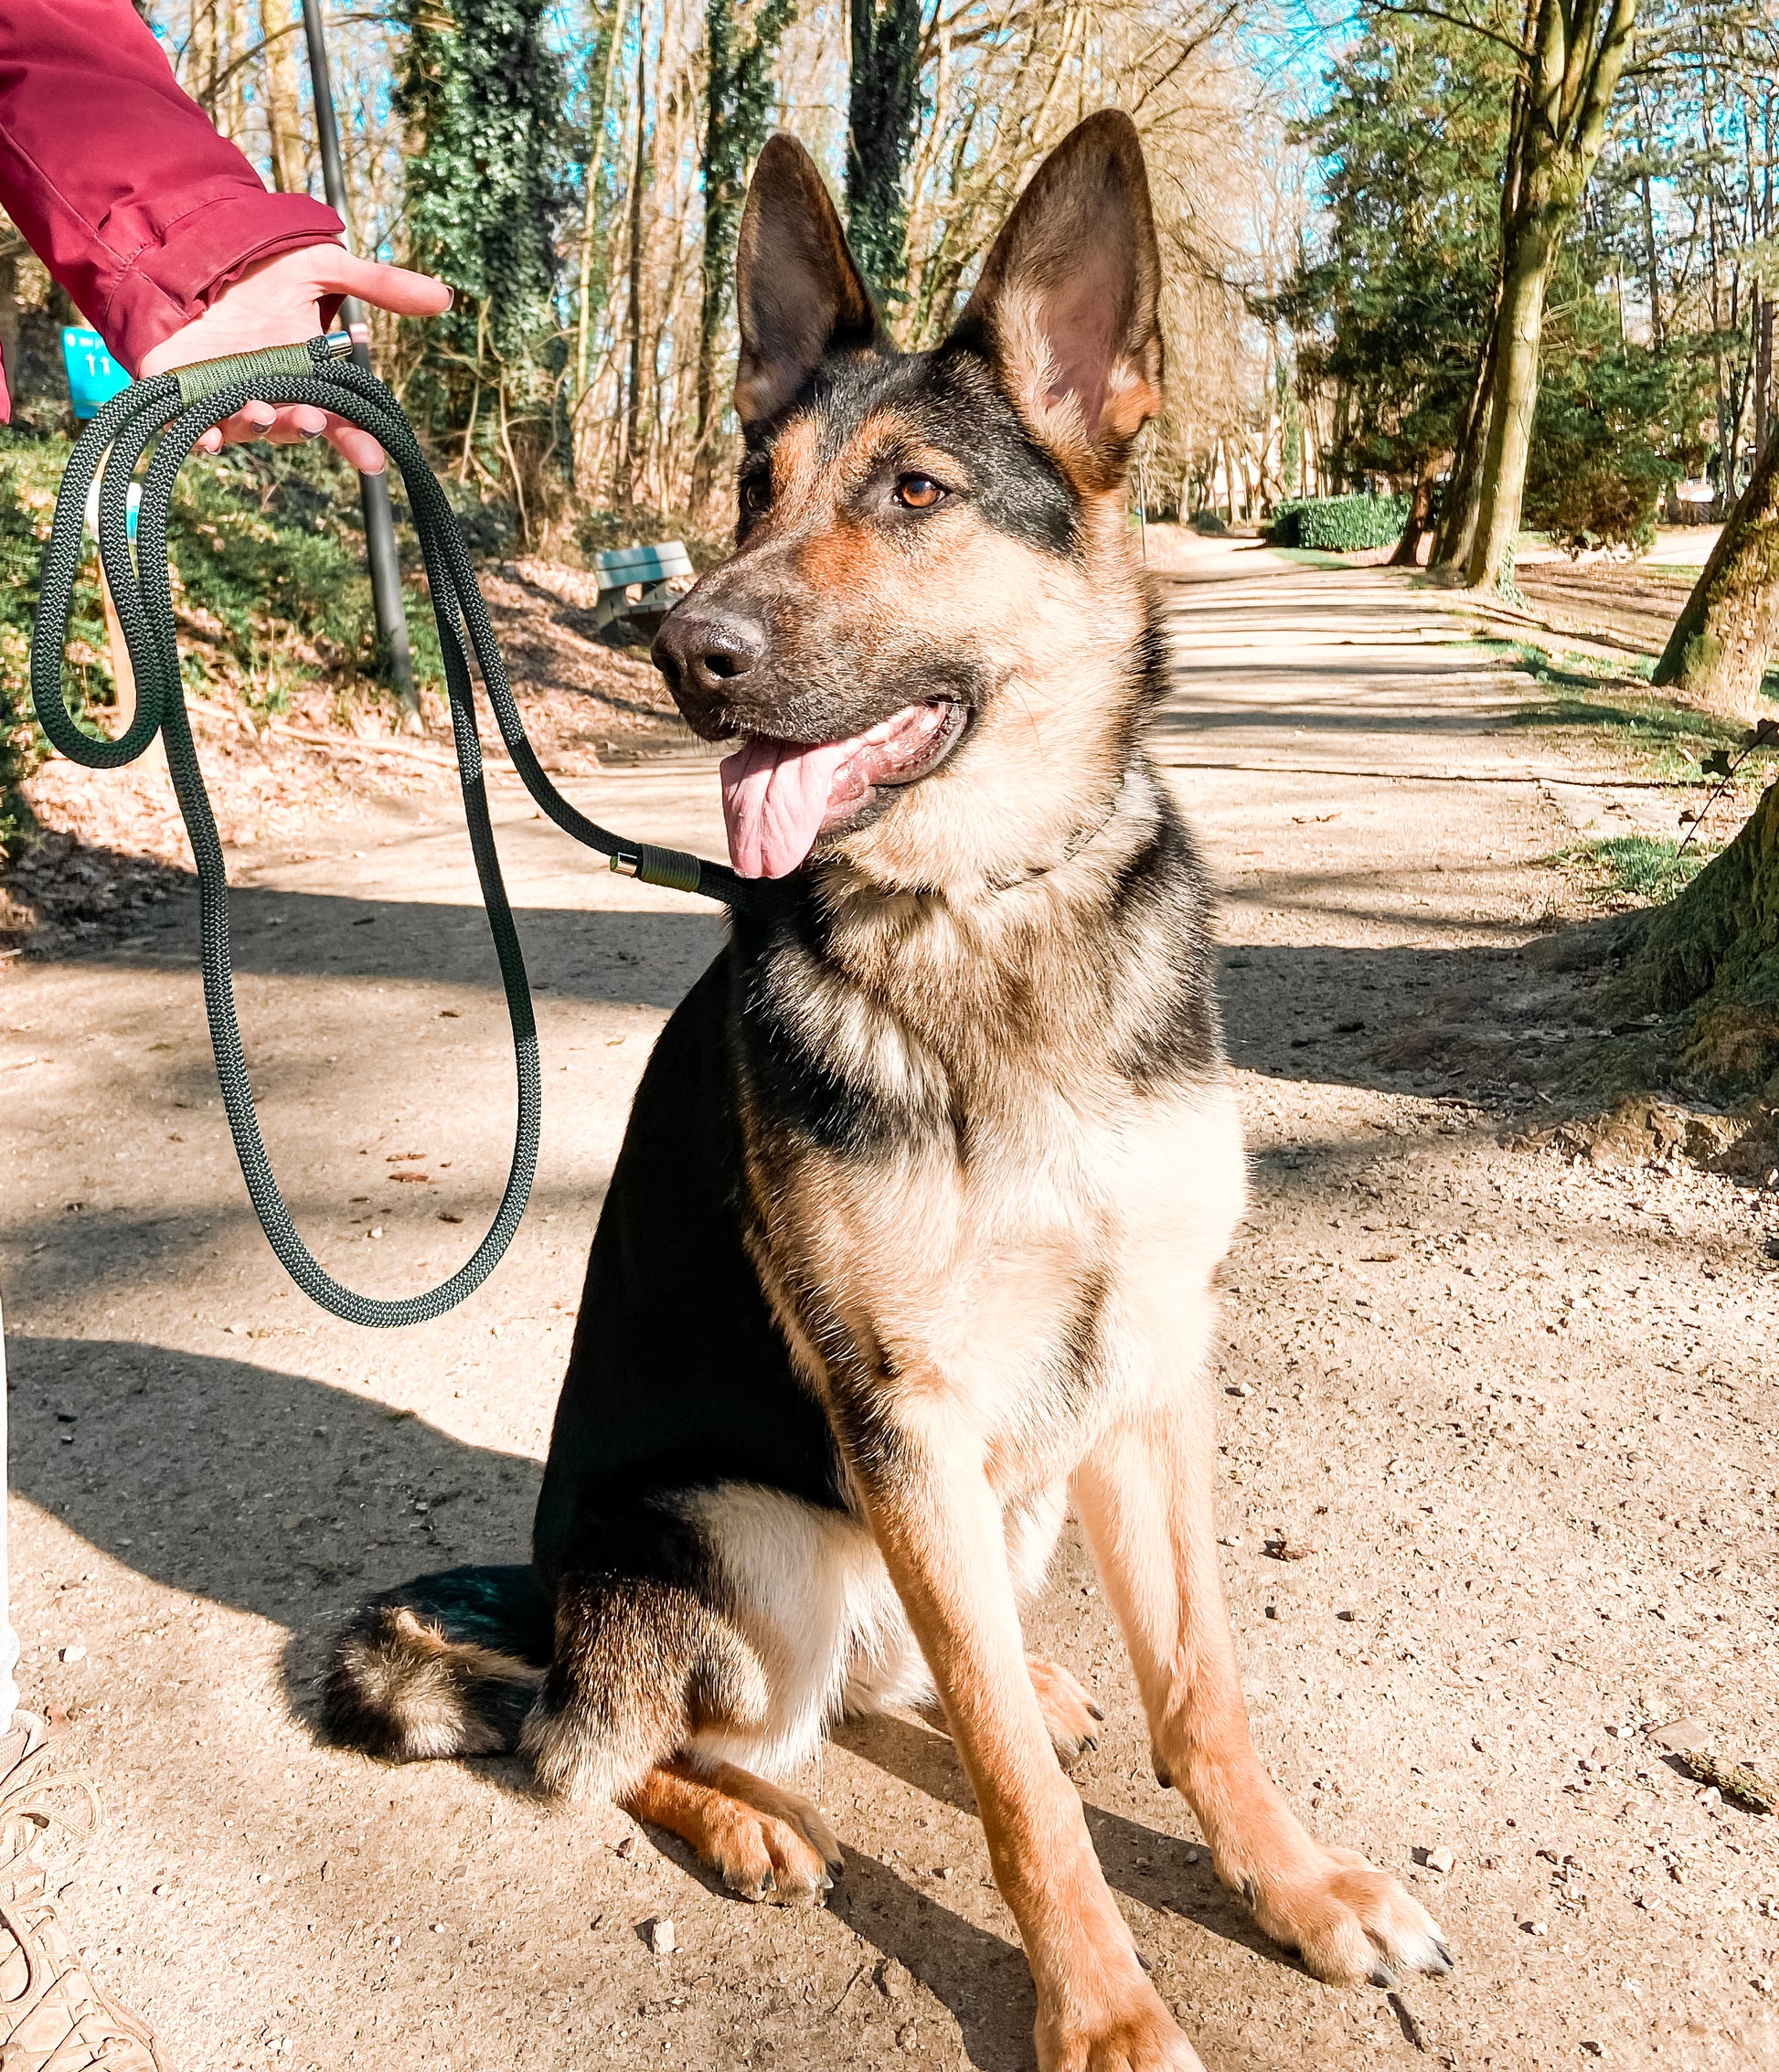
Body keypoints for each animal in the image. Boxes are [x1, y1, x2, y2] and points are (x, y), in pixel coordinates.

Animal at [323, 111, 1451, 2071]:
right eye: (753, 482)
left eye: (916, 493)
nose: (681, 649)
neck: (982, 906)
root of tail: (551, 1607)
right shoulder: (900, 1415)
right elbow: (1012, 1793)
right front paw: (1100, 2010)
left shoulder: (1149, 1365)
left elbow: (1202, 1692)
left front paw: (1292, 1887)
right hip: (753, 1541)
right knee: (600, 1745)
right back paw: (747, 1820)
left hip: (1005, 1490)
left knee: (907, 1669)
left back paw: (1024, 1676)